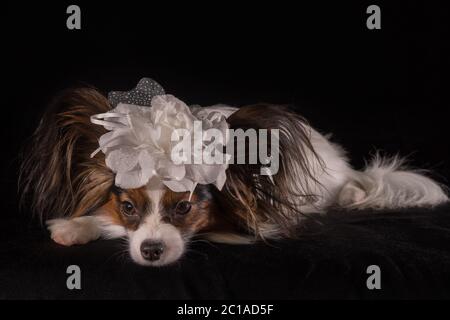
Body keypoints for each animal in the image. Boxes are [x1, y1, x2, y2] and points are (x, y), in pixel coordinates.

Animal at [19, 82, 448, 264]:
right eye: (127, 207)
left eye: (185, 208)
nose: (151, 251)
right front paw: (76, 226)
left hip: (329, 179)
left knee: (347, 185)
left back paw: (353, 193)